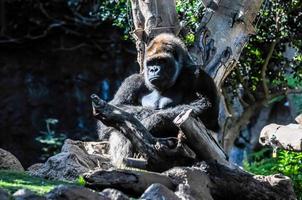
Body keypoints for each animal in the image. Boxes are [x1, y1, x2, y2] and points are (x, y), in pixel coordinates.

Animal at [98, 33, 218, 167]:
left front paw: (153, 120)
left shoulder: (199, 75)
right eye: (151, 63)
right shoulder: (133, 81)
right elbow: (116, 109)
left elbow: (209, 116)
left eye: (161, 61)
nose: (153, 69)